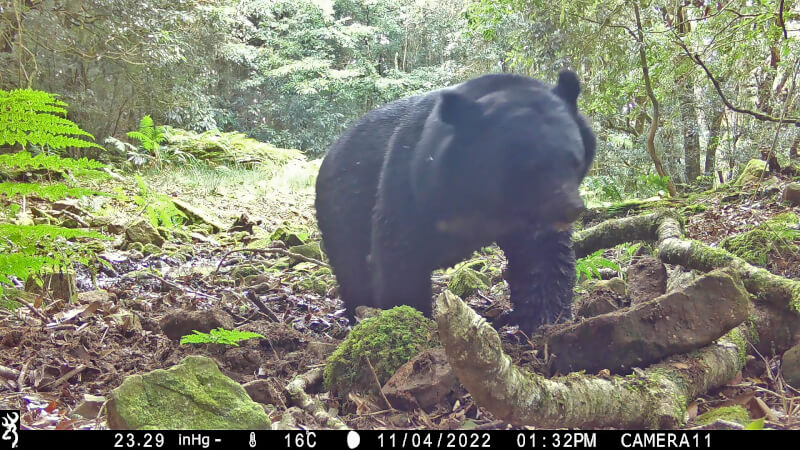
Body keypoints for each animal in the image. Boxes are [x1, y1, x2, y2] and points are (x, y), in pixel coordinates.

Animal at [316, 70, 596, 330]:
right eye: (529, 169)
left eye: (574, 160)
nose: (570, 209)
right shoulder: (410, 183)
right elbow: (400, 254)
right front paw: (410, 319)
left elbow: (545, 256)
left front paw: (546, 320)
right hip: (342, 210)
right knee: (353, 267)